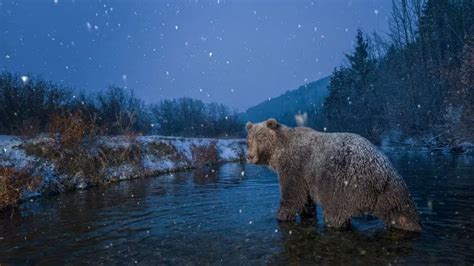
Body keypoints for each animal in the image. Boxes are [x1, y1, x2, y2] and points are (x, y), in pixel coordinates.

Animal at [246, 117, 420, 232]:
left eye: (260, 138)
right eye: (249, 139)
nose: (249, 156)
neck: (278, 153)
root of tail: (379, 173)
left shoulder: (294, 167)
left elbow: (293, 196)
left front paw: (281, 215)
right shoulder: (306, 177)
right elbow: (306, 200)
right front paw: (307, 213)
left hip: (342, 185)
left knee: (335, 213)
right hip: (393, 190)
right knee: (402, 214)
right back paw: (413, 226)